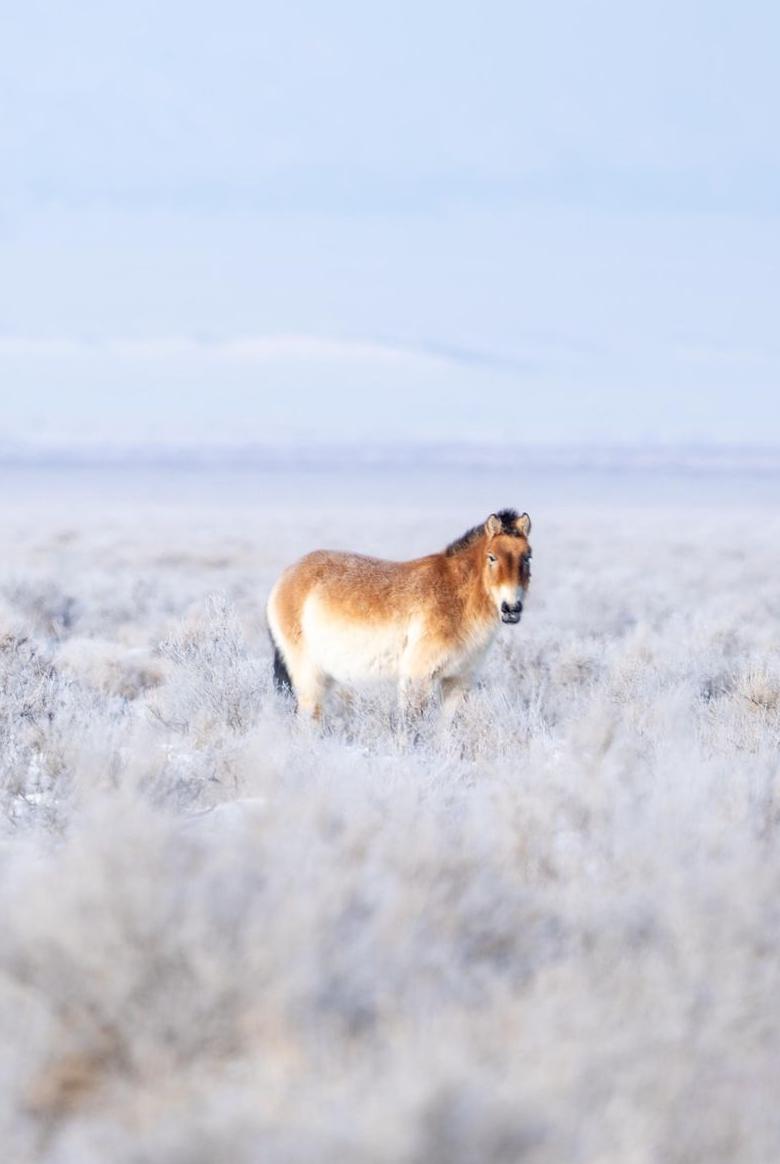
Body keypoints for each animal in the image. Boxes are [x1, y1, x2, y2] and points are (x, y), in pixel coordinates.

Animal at [266, 509, 532, 723]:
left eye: (527, 557)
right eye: (491, 557)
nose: (511, 608)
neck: (455, 596)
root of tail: (285, 577)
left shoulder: (457, 681)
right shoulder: (418, 676)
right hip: (308, 676)